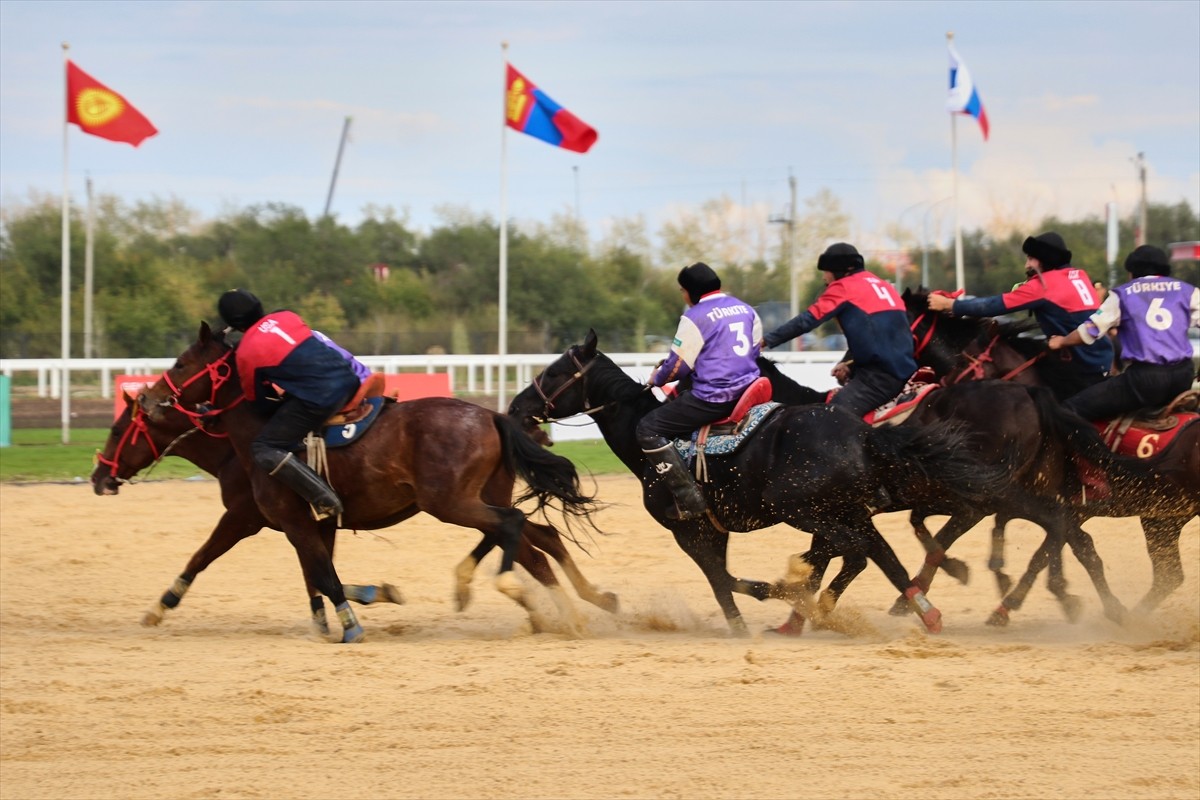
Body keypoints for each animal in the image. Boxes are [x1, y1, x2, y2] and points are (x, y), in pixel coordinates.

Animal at [140, 321, 604, 642]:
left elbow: (321, 575)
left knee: (512, 526)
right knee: (529, 537)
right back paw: (568, 607)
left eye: (181, 363)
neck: (260, 430)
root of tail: (491, 415)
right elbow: (319, 574)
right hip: (476, 497)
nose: (146, 398)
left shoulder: (289, 520)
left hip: (450, 502)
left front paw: (351, 624)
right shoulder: (315, 523)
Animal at [506, 328, 1012, 633]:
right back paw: (911, 610)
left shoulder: (690, 530)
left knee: (859, 551)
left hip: (805, 509)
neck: (643, 435)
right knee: (876, 555)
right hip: (842, 510)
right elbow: (726, 577)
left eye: (555, 370)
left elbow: (720, 580)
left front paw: (748, 618)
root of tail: (861, 431)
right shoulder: (714, 529)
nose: (515, 405)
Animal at [902, 287, 1195, 618]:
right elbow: (1069, 547)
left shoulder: (1007, 502)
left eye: (968, 358)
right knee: (1169, 575)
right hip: (1163, 519)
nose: (941, 385)